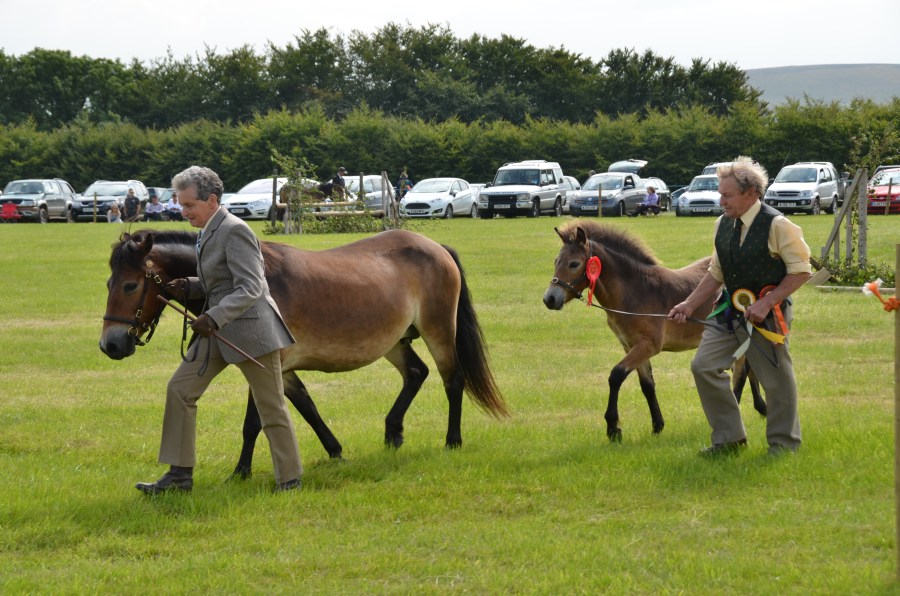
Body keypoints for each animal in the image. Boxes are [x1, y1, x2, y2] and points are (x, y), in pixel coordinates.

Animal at [100, 228, 508, 478]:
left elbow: (254, 423)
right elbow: (307, 408)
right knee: (416, 374)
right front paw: (336, 451)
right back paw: (393, 432)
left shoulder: (264, 362)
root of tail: (436, 247)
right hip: (394, 341)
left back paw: (452, 440)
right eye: (108, 283)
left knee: (452, 379)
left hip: (439, 331)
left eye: (131, 285)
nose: (111, 344)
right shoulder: (284, 368)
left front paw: (240, 472)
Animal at [542, 221, 764, 442]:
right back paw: (761, 407)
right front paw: (657, 426)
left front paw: (613, 428)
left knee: (740, 374)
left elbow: (616, 376)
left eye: (574, 264)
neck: (636, 292)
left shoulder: (648, 345)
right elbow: (647, 385)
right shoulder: (631, 346)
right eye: (556, 261)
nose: (549, 299)